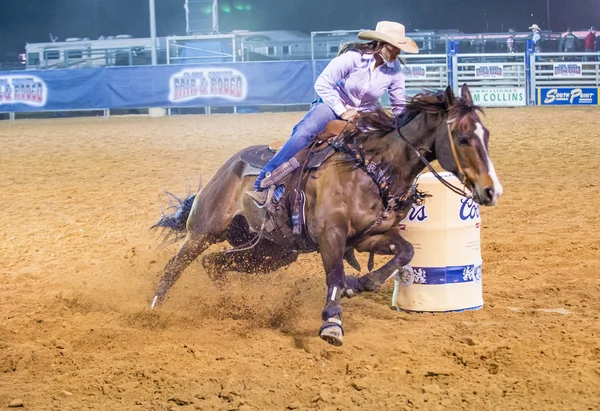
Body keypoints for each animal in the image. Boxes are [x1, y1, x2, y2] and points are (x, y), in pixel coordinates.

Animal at [149, 85, 502, 346]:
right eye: (463, 138)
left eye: (486, 136)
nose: (492, 190)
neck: (370, 170)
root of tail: (229, 166)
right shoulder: (331, 235)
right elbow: (333, 276)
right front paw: (332, 322)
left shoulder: (368, 238)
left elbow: (405, 252)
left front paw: (360, 283)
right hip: (205, 230)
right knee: (174, 268)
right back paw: (154, 310)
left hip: (270, 252)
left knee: (215, 264)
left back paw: (231, 304)